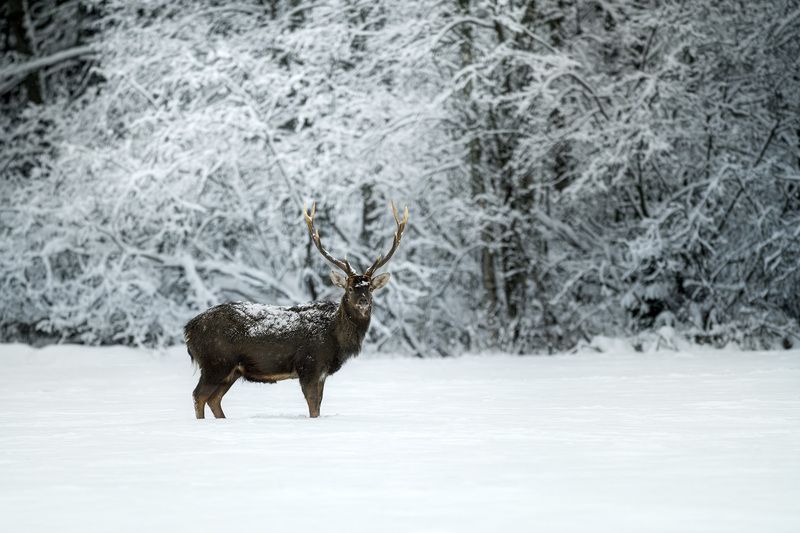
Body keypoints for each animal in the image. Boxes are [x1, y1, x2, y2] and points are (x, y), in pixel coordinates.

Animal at [184, 201, 408, 419]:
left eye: (369, 288)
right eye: (350, 288)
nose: (363, 301)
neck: (335, 337)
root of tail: (189, 328)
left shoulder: (321, 372)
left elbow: (319, 404)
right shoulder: (309, 364)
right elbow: (313, 406)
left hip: (230, 370)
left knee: (214, 399)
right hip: (215, 361)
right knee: (198, 395)